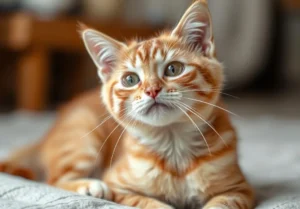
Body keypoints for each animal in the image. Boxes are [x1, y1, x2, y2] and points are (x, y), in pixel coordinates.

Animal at [0, 0, 255, 208]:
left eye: (174, 69)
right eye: (130, 80)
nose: (152, 90)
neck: (174, 148)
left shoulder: (238, 189)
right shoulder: (119, 187)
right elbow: (150, 204)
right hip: (82, 135)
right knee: (53, 179)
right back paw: (89, 185)